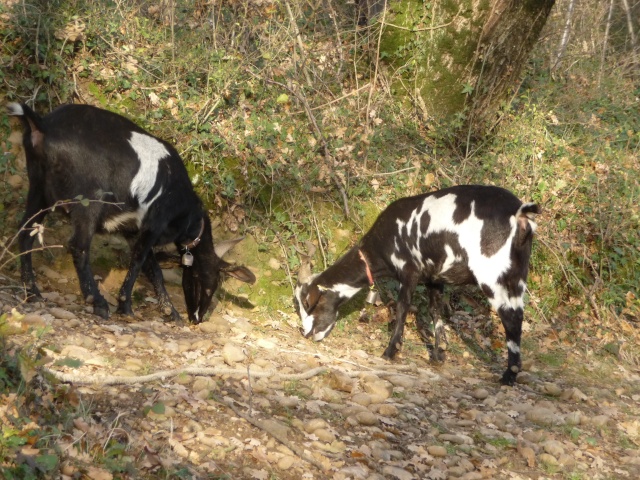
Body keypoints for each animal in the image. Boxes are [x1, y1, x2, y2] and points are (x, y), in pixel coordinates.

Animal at [9, 103, 255, 324]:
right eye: (204, 278)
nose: (197, 318)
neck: (186, 210)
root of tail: (43, 126)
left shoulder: (132, 230)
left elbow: (153, 269)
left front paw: (170, 312)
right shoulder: (155, 223)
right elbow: (138, 261)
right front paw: (125, 306)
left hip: (39, 190)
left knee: (25, 234)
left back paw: (32, 292)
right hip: (88, 200)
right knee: (78, 247)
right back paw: (97, 302)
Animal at [296, 185, 540, 386]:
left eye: (308, 304)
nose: (306, 334)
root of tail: (519, 212)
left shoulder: (409, 271)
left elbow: (402, 308)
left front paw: (391, 351)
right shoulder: (435, 278)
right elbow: (435, 311)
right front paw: (439, 354)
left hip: (491, 272)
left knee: (510, 318)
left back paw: (509, 376)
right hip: (518, 275)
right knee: (518, 314)